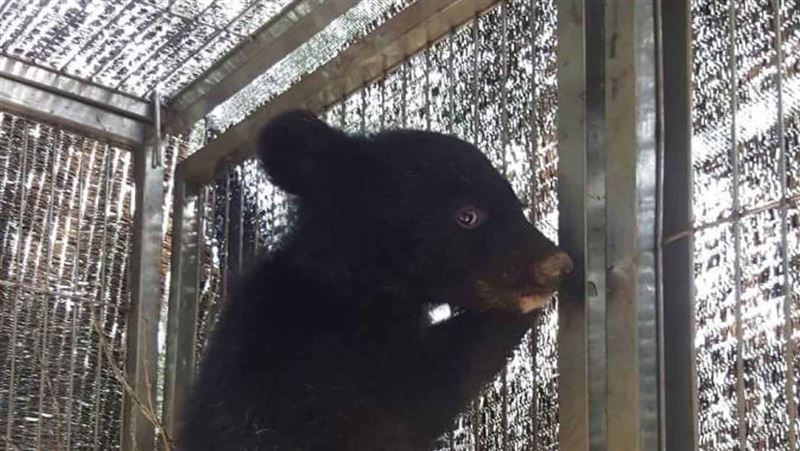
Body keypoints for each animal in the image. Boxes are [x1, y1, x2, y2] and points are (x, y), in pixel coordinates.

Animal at [177, 110, 573, 451]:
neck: (355, 284)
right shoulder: (313, 367)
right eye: (468, 215)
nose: (557, 264)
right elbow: (423, 391)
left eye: (517, 206)